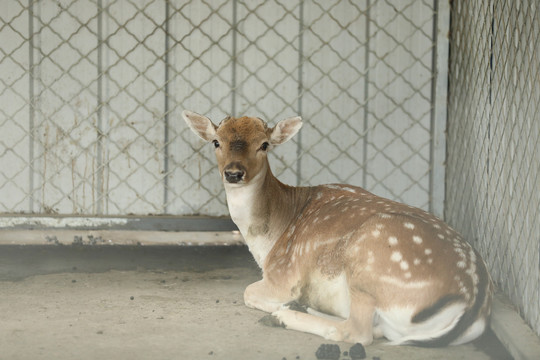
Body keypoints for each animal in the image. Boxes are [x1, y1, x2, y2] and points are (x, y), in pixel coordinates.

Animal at [184, 110, 492, 346]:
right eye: (216, 142)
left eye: (264, 144)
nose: (234, 173)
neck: (268, 242)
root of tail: (471, 304)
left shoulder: (284, 275)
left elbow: (248, 292)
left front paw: (286, 304)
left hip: (369, 264)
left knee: (357, 332)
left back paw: (285, 315)